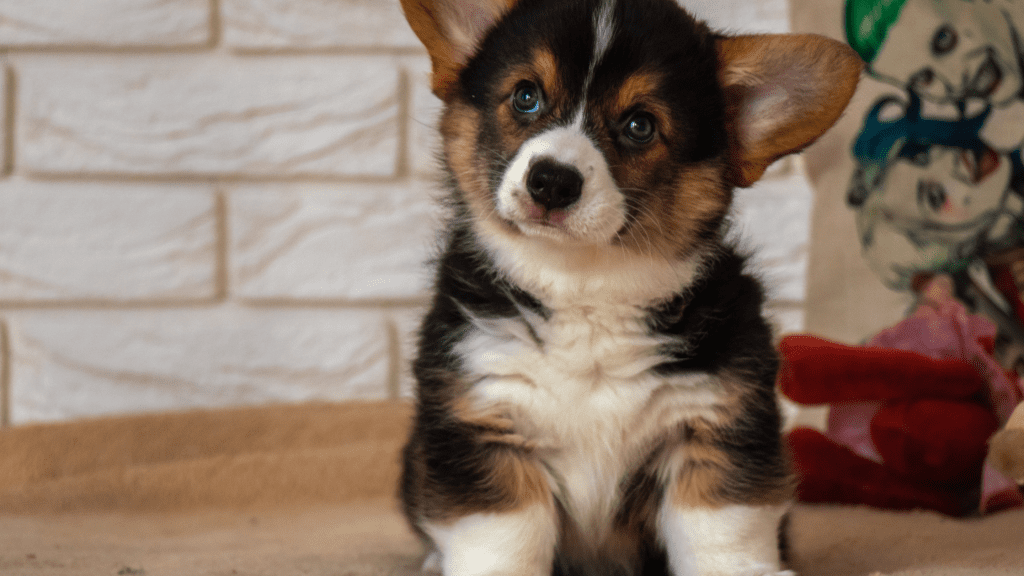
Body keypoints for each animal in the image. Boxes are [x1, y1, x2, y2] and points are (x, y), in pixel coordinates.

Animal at [395, 1, 860, 573]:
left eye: (640, 125)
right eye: (526, 96)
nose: (551, 180)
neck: (585, 290)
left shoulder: (715, 429)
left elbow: (722, 536)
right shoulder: (483, 426)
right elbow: (505, 541)